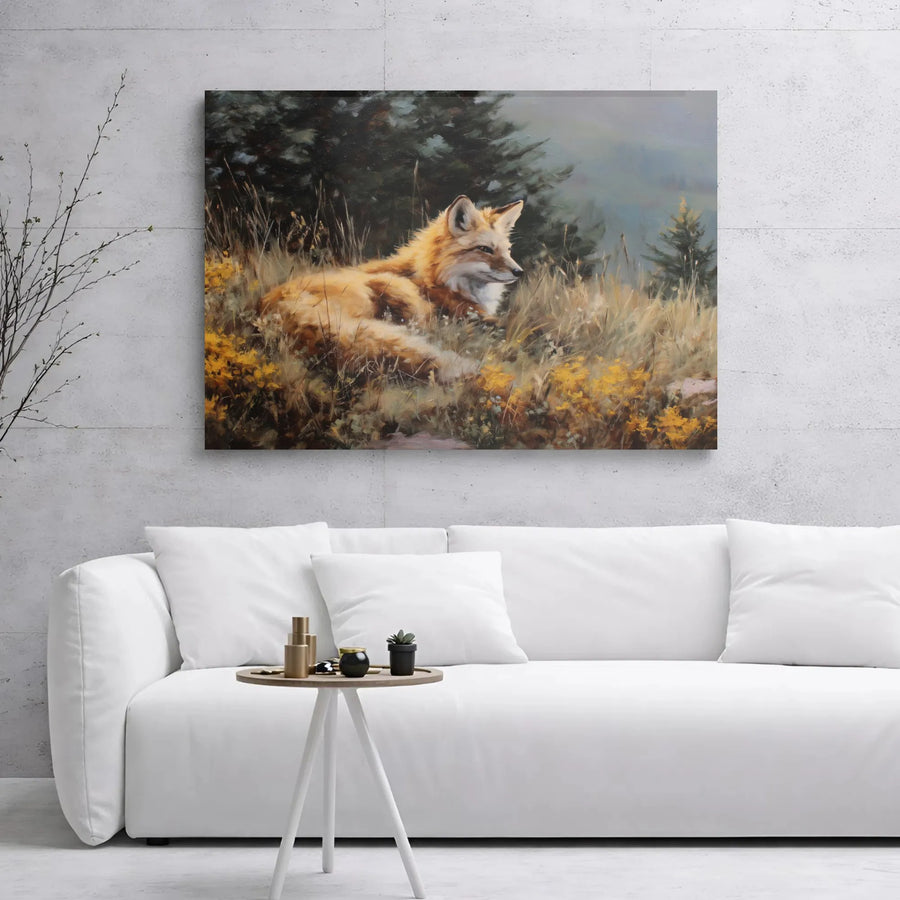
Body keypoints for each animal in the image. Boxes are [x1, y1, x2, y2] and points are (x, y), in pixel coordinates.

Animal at [258, 194, 524, 382]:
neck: (435, 279)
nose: (519, 272)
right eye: (485, 249)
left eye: (508, 250)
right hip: (396, 291)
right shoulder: (466, 313)